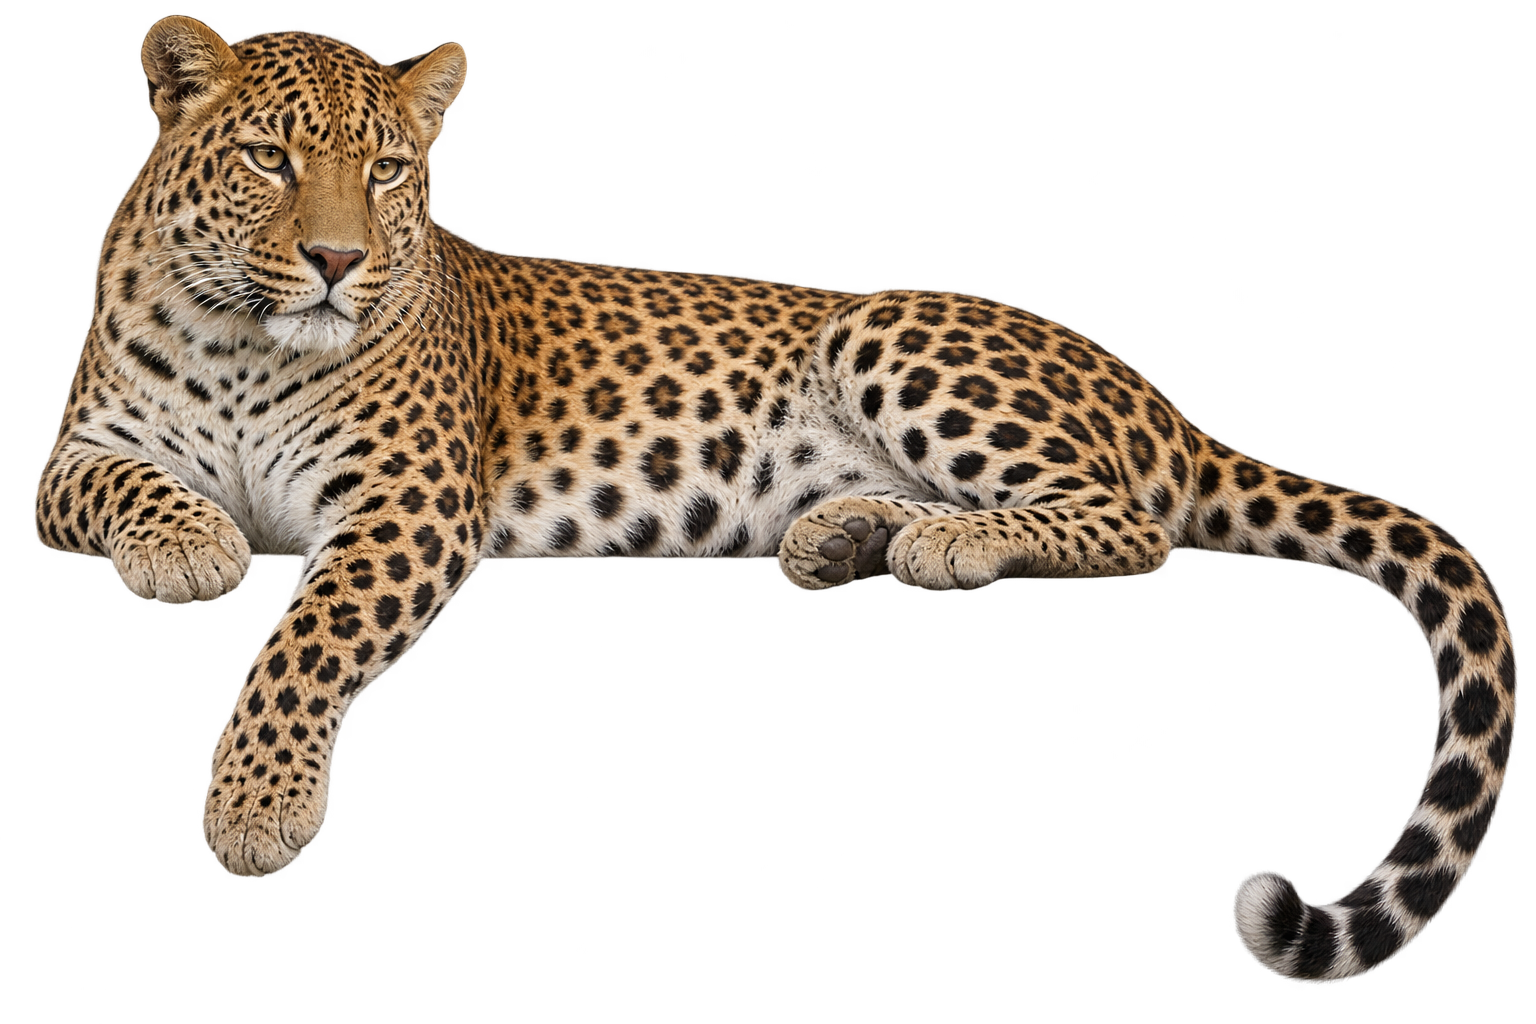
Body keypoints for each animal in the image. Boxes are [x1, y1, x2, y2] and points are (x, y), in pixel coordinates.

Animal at [33, 16, 1513, 981]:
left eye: (386, 170)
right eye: (270, 160)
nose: (342, 262)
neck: (249, 340)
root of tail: (1157, 391)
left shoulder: (406, 503)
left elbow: (305, 641)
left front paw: (254, 805)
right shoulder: (66, 459)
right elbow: (127, 487)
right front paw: (192, 545)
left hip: (888, 328)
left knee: (1133, 522)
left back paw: (945, 545)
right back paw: (851, 533)